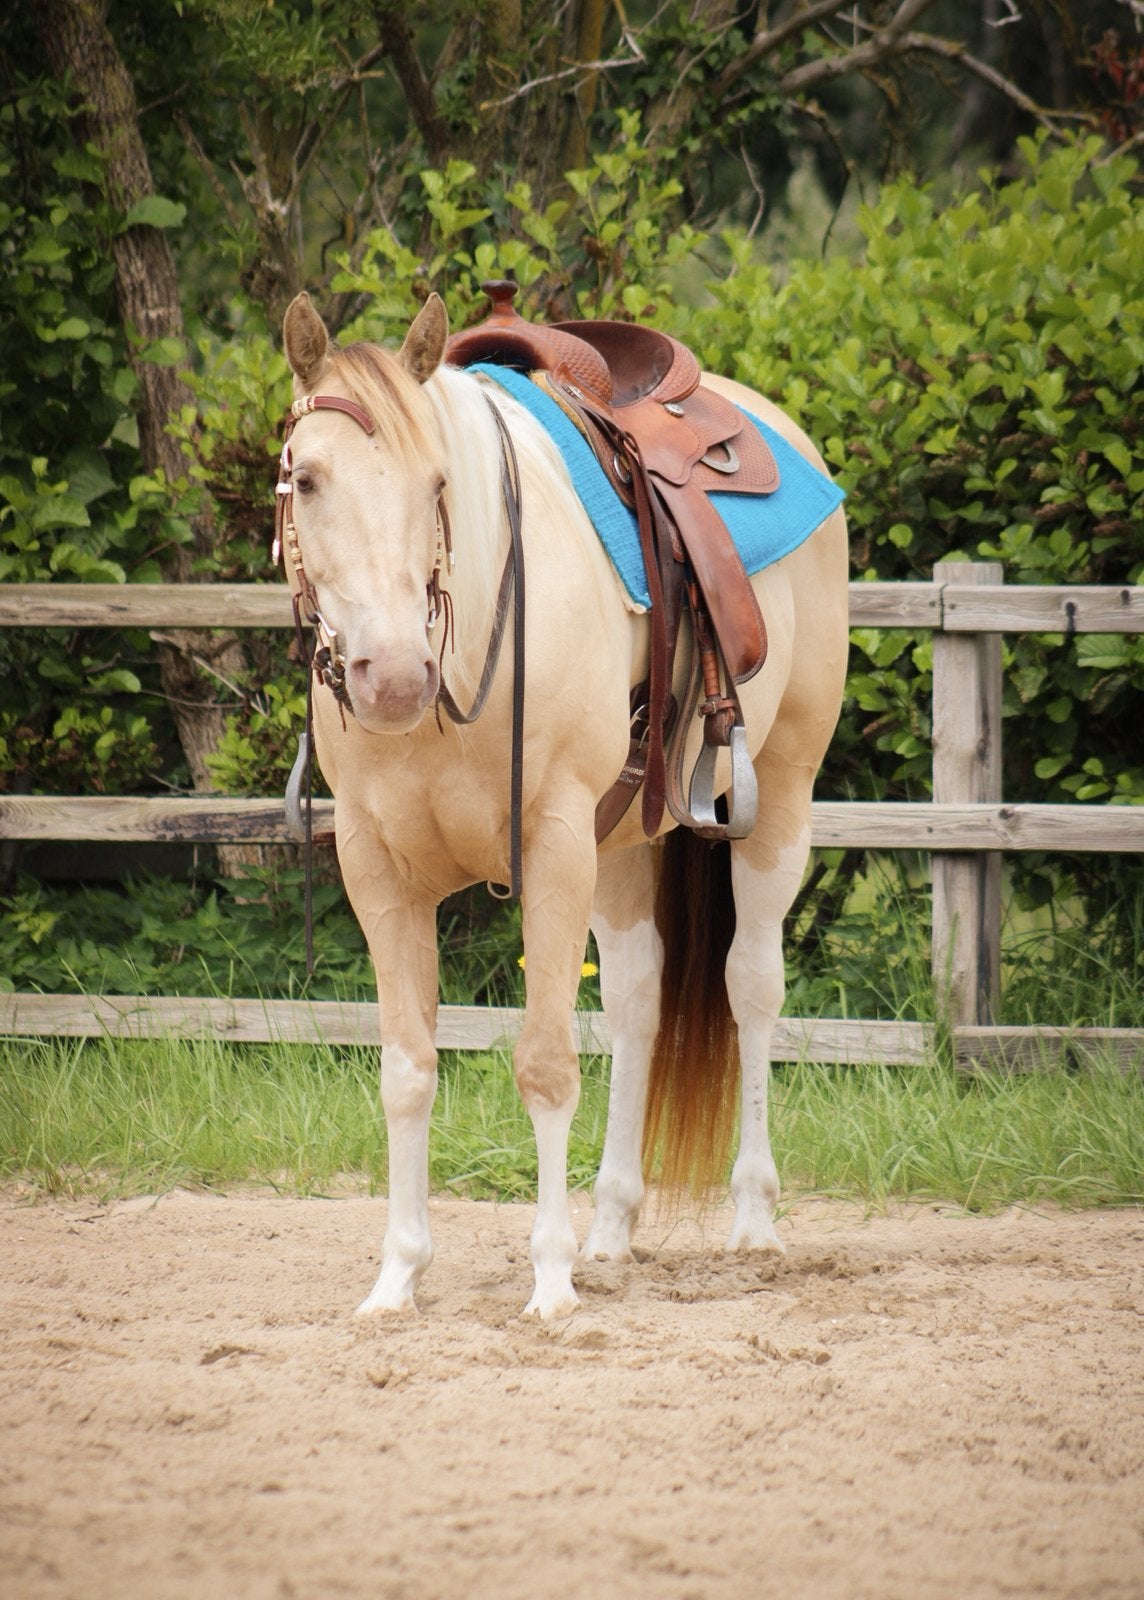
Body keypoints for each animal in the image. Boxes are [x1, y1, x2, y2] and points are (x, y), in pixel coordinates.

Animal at [278, 289, 849, 1320]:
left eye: (436, 484)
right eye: (305, 480)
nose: (394, 677)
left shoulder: (550, 848)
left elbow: (544, 1066)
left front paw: (548, 1280)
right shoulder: (378, 871)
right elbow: (406, 1073)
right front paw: (398, 1277)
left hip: (779, 801)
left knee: (751, 985)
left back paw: (753, 1221)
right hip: (623, 843)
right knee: (636, 1000)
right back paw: (612, 1227)